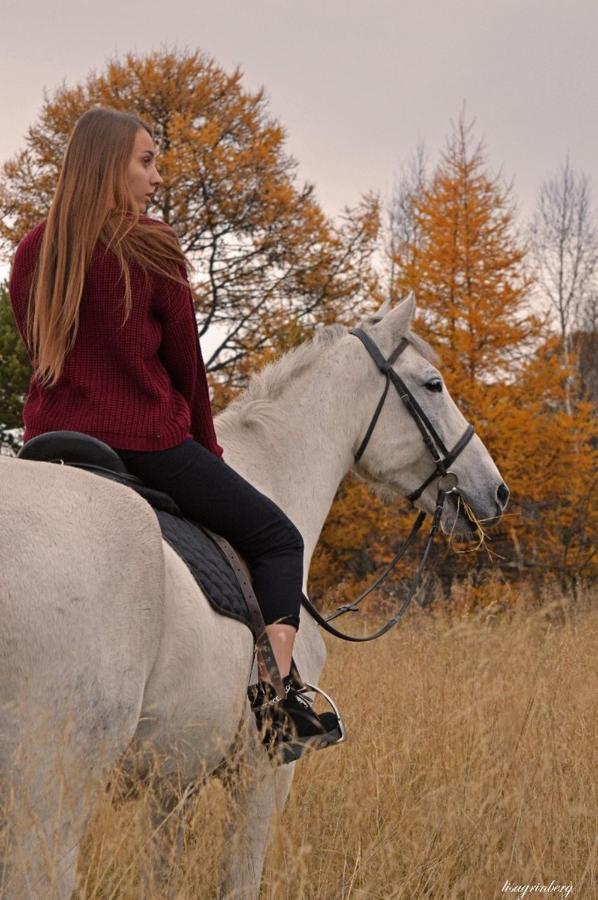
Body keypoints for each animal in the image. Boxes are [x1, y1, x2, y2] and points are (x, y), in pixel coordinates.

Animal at [0, 298, 508, 900]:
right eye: (433, 385)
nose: (495, 491)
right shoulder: (261, 774)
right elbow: (240, 880)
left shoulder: (173, 782)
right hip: (51, 795)